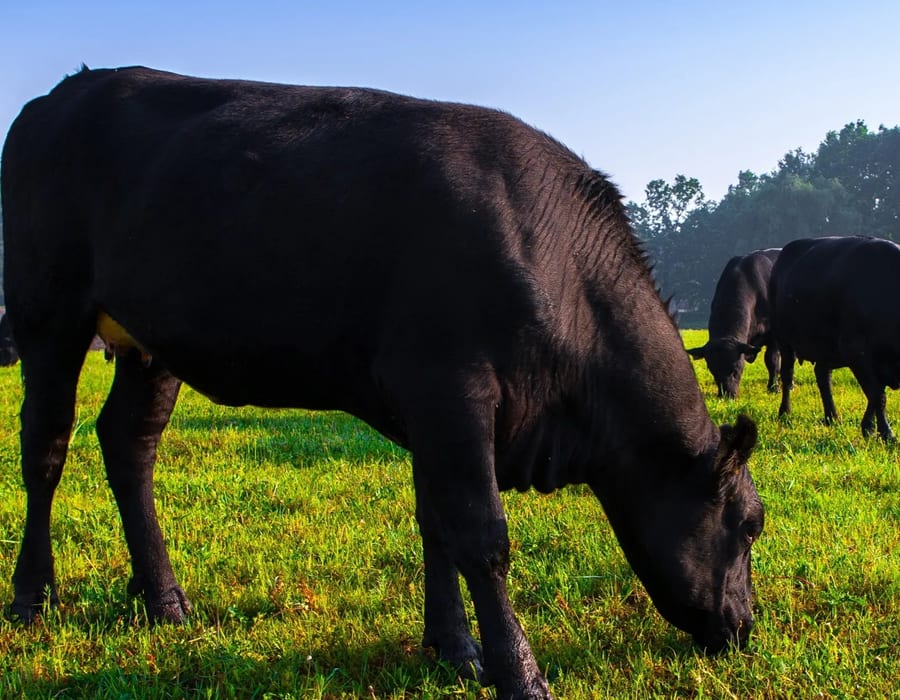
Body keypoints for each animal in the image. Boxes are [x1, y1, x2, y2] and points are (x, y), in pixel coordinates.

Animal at [1, 66, 763, 699]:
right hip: (47, 313)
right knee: (45, 449)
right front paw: (520, 674)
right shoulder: (452, 388)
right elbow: (481, 534)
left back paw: (163, 600)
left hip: (150, 344)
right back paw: (32, 599)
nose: (747, 627)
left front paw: (454, 649)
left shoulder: (432, 407)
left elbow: (436, 522)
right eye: (749, 525)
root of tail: (62, 94)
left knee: (129, 445)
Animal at [687, 249, 781, 398]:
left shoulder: (773, 335)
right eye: (713, 370)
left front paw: (773, 388)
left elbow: (772, 361)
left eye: (735, 369)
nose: (727, 395)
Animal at [770, 236, 900, 440]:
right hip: (784, 342)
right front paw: (886, 434)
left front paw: (868, 428)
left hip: (826, 349)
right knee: (787, 375)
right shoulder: (857, 352)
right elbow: (878, 395)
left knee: (823, 376)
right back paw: (785, 412)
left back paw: (832, 416)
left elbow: (875, 394)